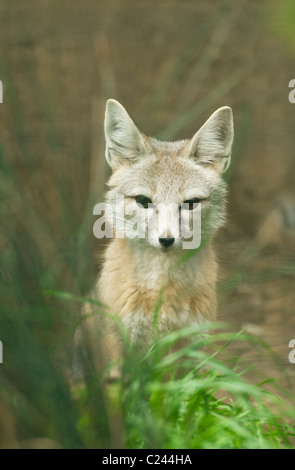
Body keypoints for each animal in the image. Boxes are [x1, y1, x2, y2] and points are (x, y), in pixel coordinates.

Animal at [73, 98, 234, 378]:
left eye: (190, 204)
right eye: (143, 200)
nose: (166, 240)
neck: (163, 291)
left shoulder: (192, 348)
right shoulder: (117, 349)